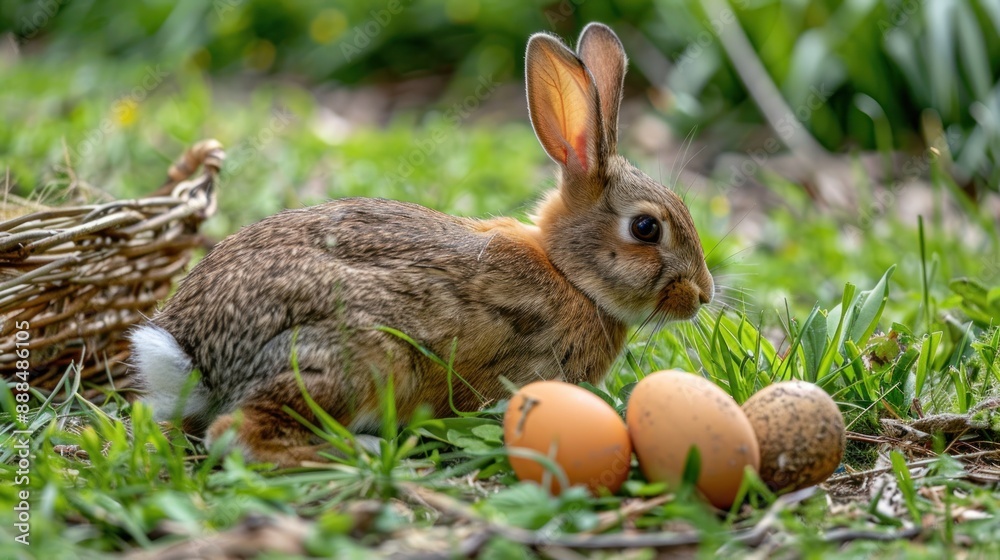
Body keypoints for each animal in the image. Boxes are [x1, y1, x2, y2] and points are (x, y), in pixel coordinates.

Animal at [129, 22, 715, 467]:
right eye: (646, 229)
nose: (704, 294)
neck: (568, 274)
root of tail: (190, 353)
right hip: (363, 360)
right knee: (239, 433)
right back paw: (364, 451)